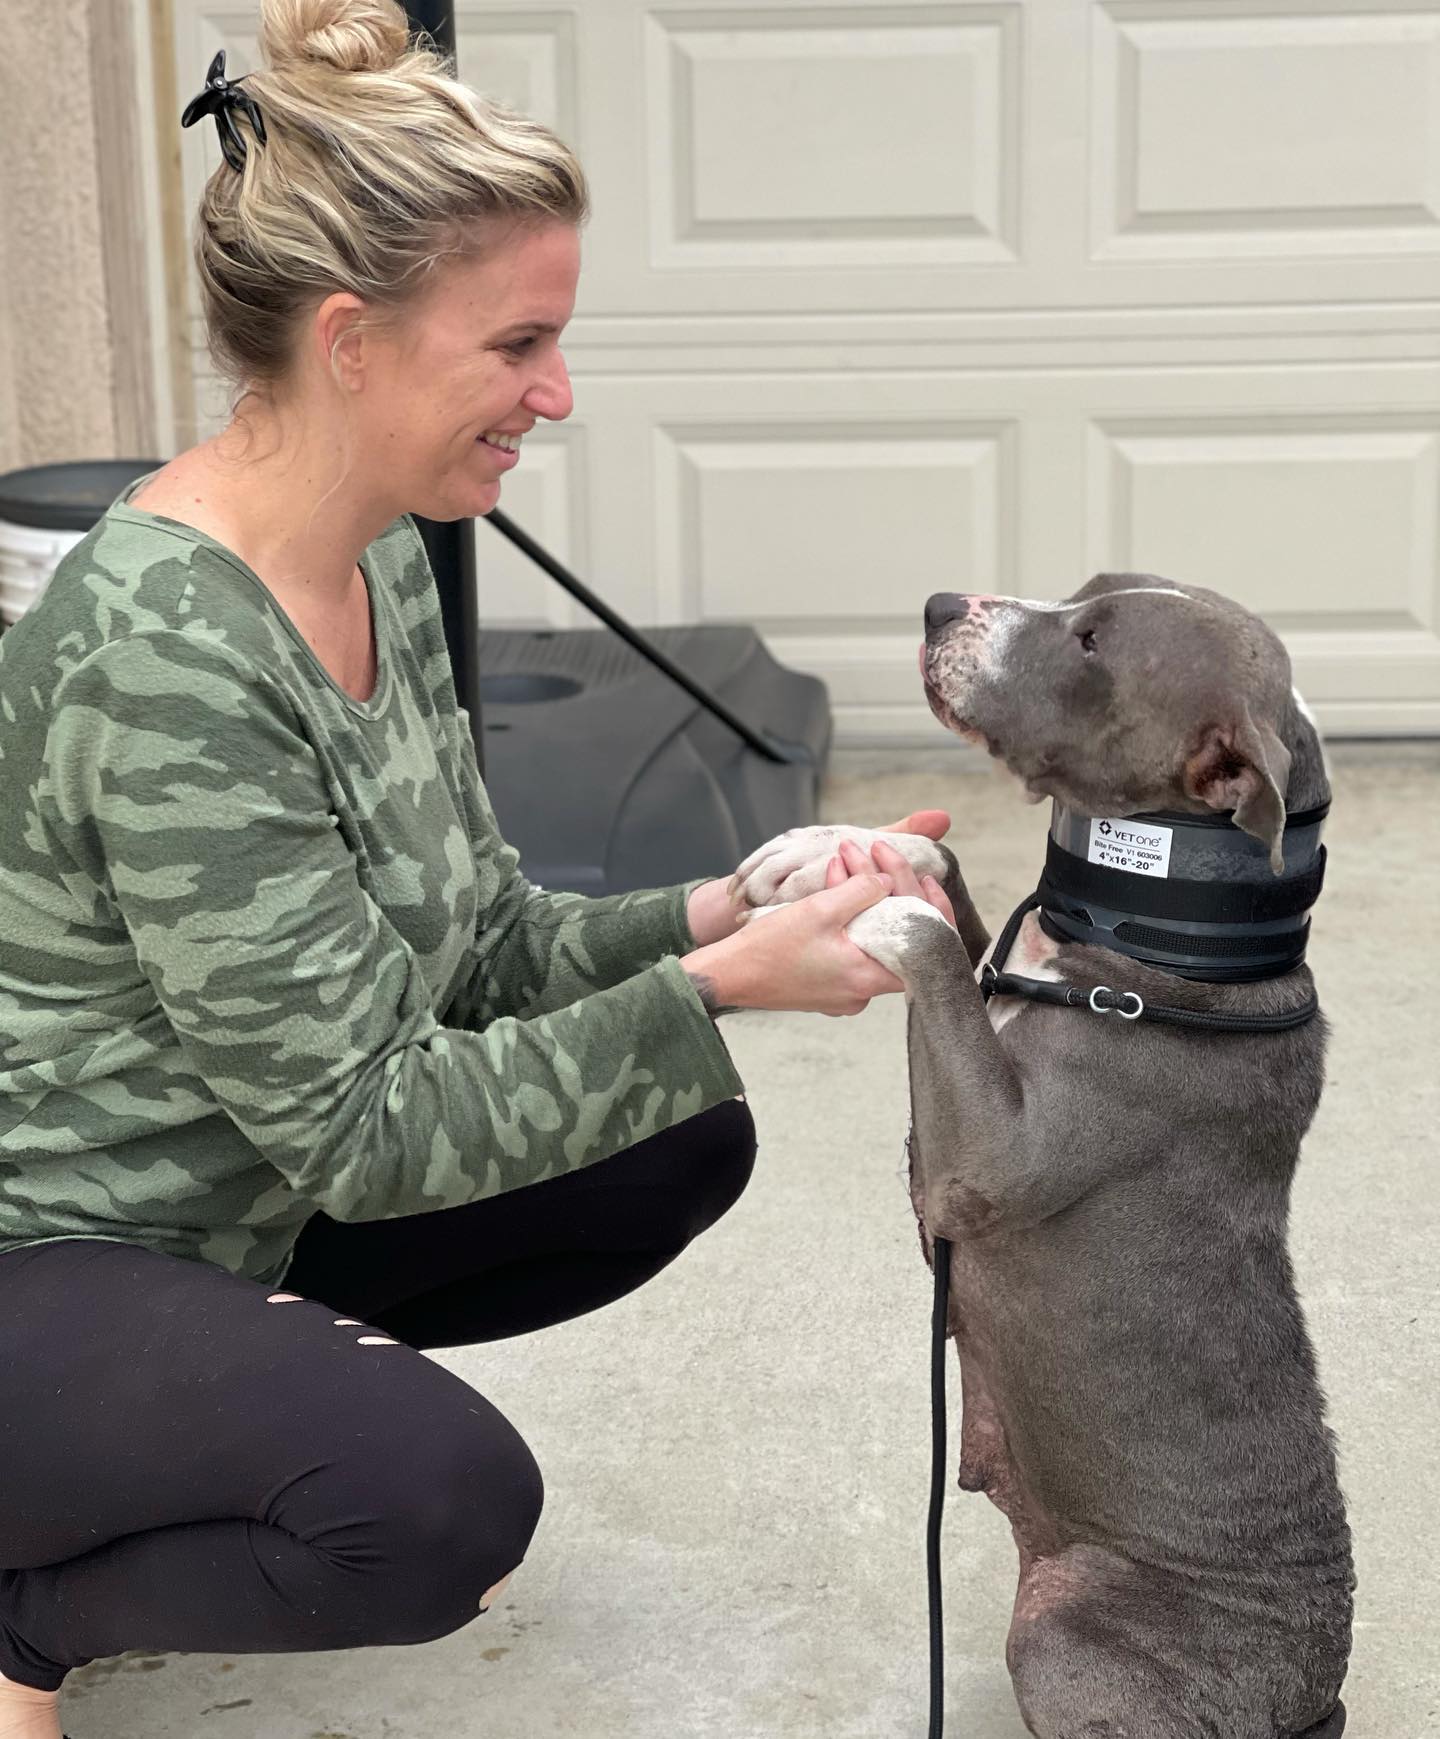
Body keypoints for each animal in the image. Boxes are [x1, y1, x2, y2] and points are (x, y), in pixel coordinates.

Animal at [730, 577, 1349, 1732]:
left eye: (1094, 641)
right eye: (1085, 593)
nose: (939, 603)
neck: (1157, 942)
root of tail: (1310, 1694)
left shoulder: (984, 1160)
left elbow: (927, 939)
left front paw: (870, 909)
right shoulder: (1000, 977)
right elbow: (948, 874)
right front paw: (831, 844)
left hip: (1066, 1622)